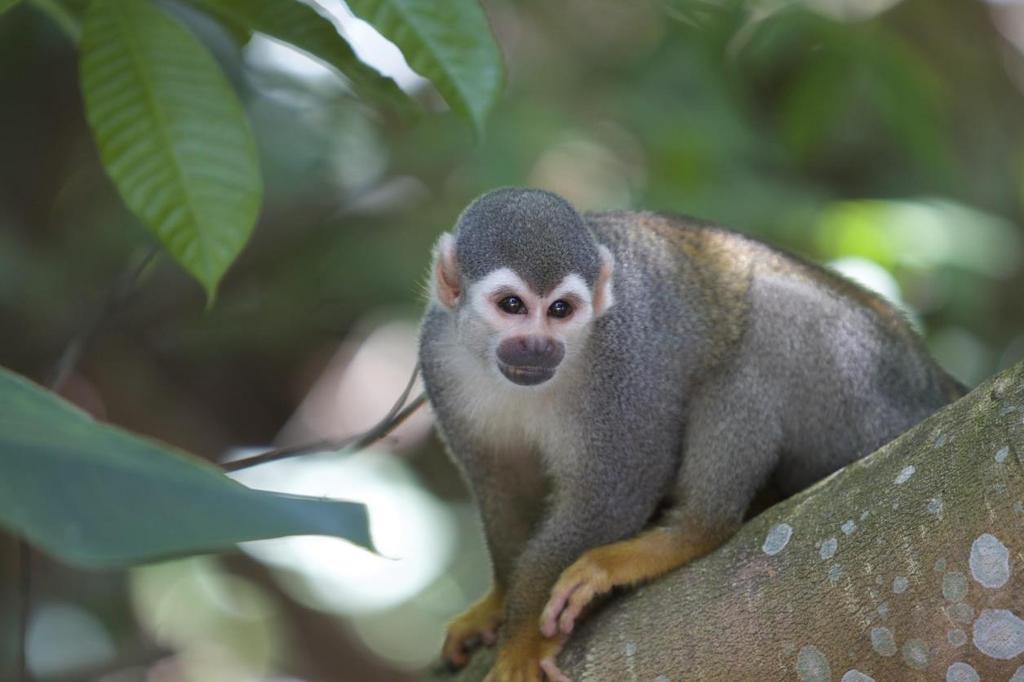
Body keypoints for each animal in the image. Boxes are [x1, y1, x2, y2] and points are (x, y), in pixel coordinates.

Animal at [413, 187, 958, 679]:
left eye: (561, 310)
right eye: (511, 305)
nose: (537, 348)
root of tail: (929, 380)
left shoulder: (624, 359)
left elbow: (615, 488)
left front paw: (523, 640)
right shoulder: (437, 353)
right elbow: (501, 485)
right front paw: (499, 601)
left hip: (862, 387)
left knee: (767, 317)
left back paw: (691, 533)